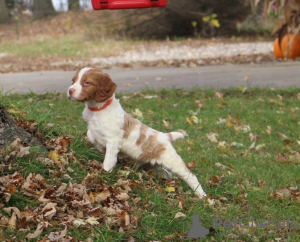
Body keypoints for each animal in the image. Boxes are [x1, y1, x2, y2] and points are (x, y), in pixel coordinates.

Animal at [67, 66, 206, 199]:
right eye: (73, 80)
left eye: (87, 82)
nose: (70, 90)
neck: (97, 110)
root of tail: (165, 136)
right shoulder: (94, 130)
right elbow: (91, 135)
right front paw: (101, 149)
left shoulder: (113, 140)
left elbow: (109, 159)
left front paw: (105, 172)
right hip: (157, 165)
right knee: (168, 174)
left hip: (171, 160)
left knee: (190, 176)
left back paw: (202, 196)